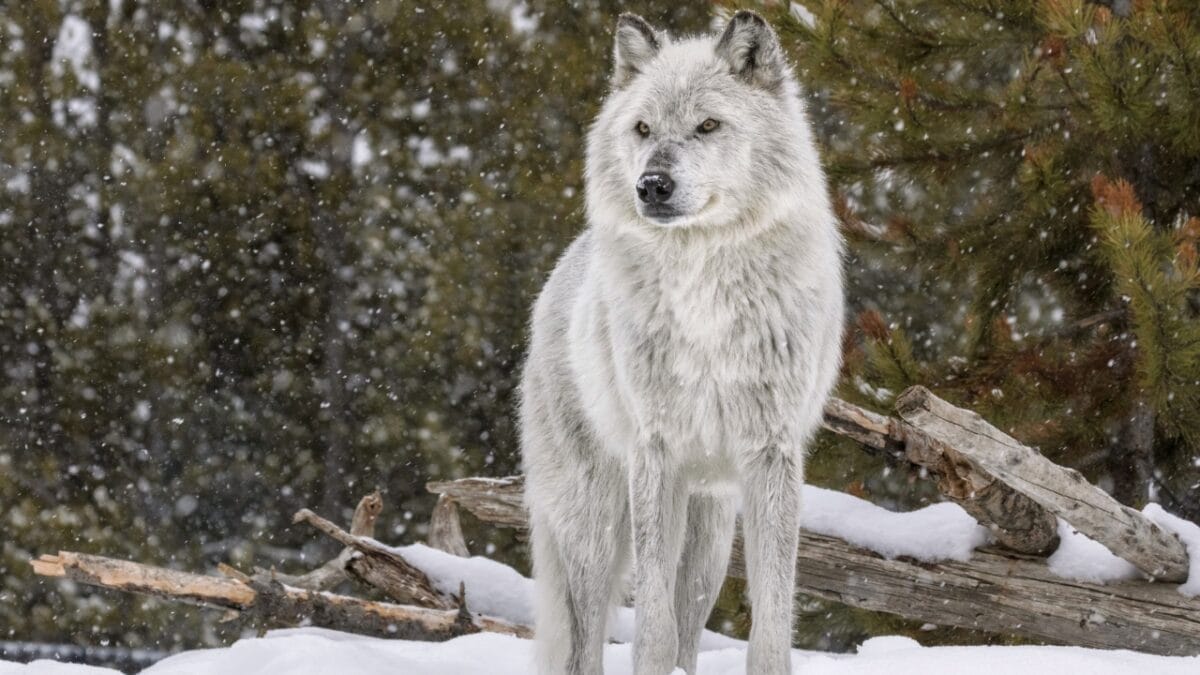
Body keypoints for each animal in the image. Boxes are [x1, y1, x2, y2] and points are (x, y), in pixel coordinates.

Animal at [519, 10, 844, 675]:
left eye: (708, 125)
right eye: (643, 128)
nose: (652, 185)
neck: (705, 293)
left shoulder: (771, 454)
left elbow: (771, 621)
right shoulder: (657, 453)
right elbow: (652, 627)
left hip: (711, 534)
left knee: (691, 619)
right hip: (596, 522)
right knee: (587, 641)